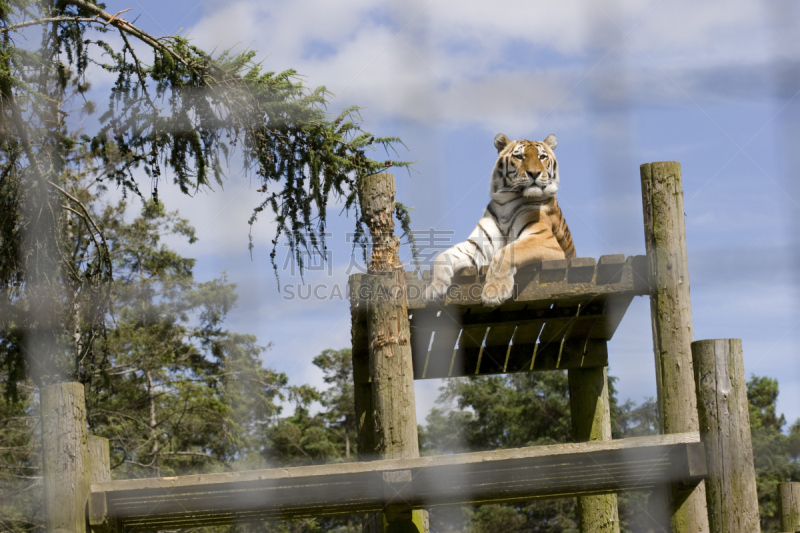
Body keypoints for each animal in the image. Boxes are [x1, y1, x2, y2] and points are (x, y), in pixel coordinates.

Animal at [424, 133, 576, 306]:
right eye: (519, 156)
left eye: (542, 157)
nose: (534, 173)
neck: (507, 201)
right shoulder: (478, 245)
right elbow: (442, 256)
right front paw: (434, 288)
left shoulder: (543, 239)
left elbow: (506, 252)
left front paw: (494, 291)